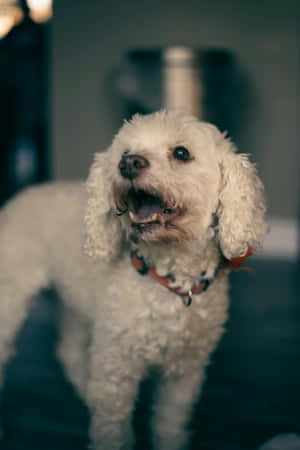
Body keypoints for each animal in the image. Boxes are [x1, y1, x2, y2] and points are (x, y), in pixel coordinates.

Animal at [0, 110, 268, 450]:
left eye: (181, 153)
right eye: (124, 152)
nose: (128, 164)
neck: (169, 279)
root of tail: (20, 195)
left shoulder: (183, 376)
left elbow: (169, 425)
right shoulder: (116, 371)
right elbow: (112, 428)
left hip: (74, 304)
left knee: (68, 350)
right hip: (10, 301)